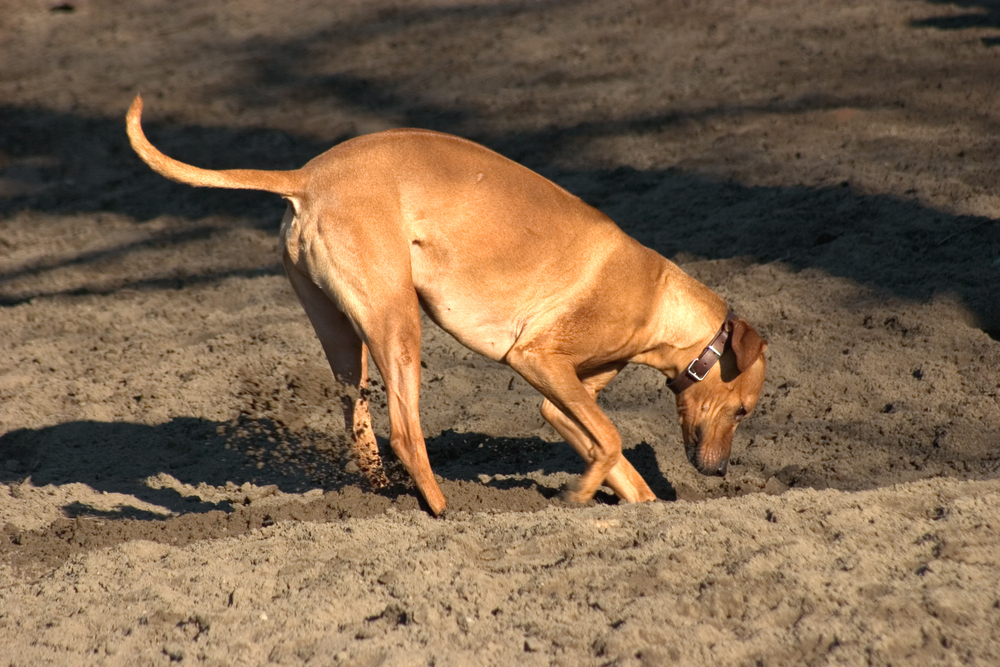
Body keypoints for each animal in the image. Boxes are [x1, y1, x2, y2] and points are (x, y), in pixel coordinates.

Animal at [125, 94, 764, 516]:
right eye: (743, 411)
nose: (718, 471)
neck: (659, 300)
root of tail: (307, 176)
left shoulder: (562, 396)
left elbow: (611, 454)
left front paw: (648, 507)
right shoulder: (539, 361)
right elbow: (609, 440)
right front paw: (579, 494)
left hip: (343, 336)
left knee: (360, 421)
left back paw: (381, 496)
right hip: (398, 324)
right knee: (406, 433)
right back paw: (445, 510)